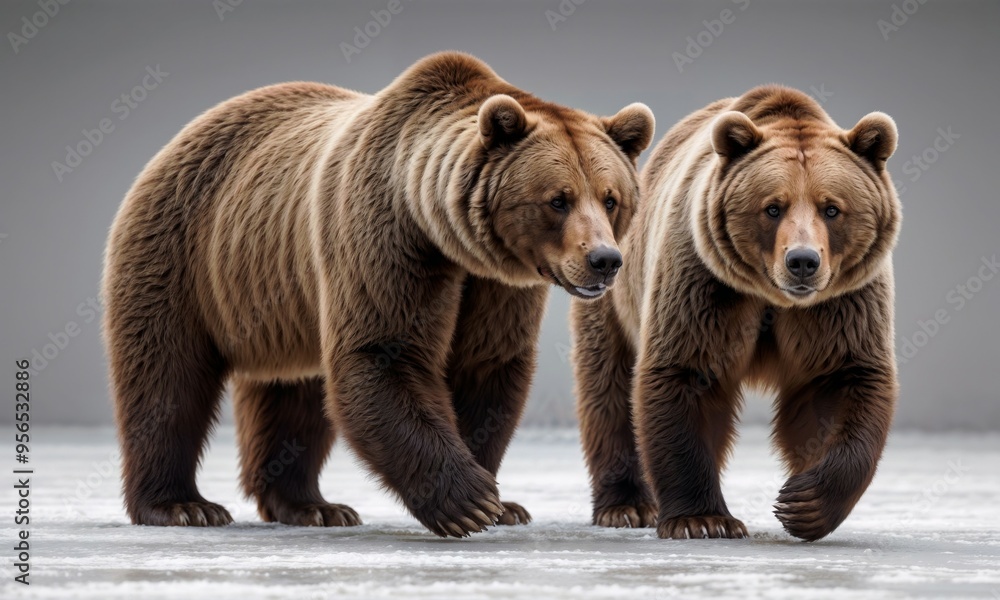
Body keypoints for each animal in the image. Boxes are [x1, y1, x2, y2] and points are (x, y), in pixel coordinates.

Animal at [102, 51, 654, 537]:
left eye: (611, 198)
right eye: (558, 199)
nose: (604, 259)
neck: (447, 237)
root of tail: (182, 135)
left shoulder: (495, 286)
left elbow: (486, 367)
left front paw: (503, 502)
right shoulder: (386, 234)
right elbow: (383, 352)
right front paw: (469, 501)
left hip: (279, 296)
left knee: (293, 392)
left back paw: (312, 506)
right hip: (183, 252)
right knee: (167, 376)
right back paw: (182, 505)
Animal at [572, 85, 901, 541]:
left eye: (831, 208)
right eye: (773, 207)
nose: (803, 261)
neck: (774, 299)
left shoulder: (840, 303)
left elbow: (842, 381)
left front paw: (804, 502)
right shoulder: (706, 283)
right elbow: (685, 372)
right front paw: (703, 519)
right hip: (611, 289)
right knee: (608, 386)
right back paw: (626, 506)